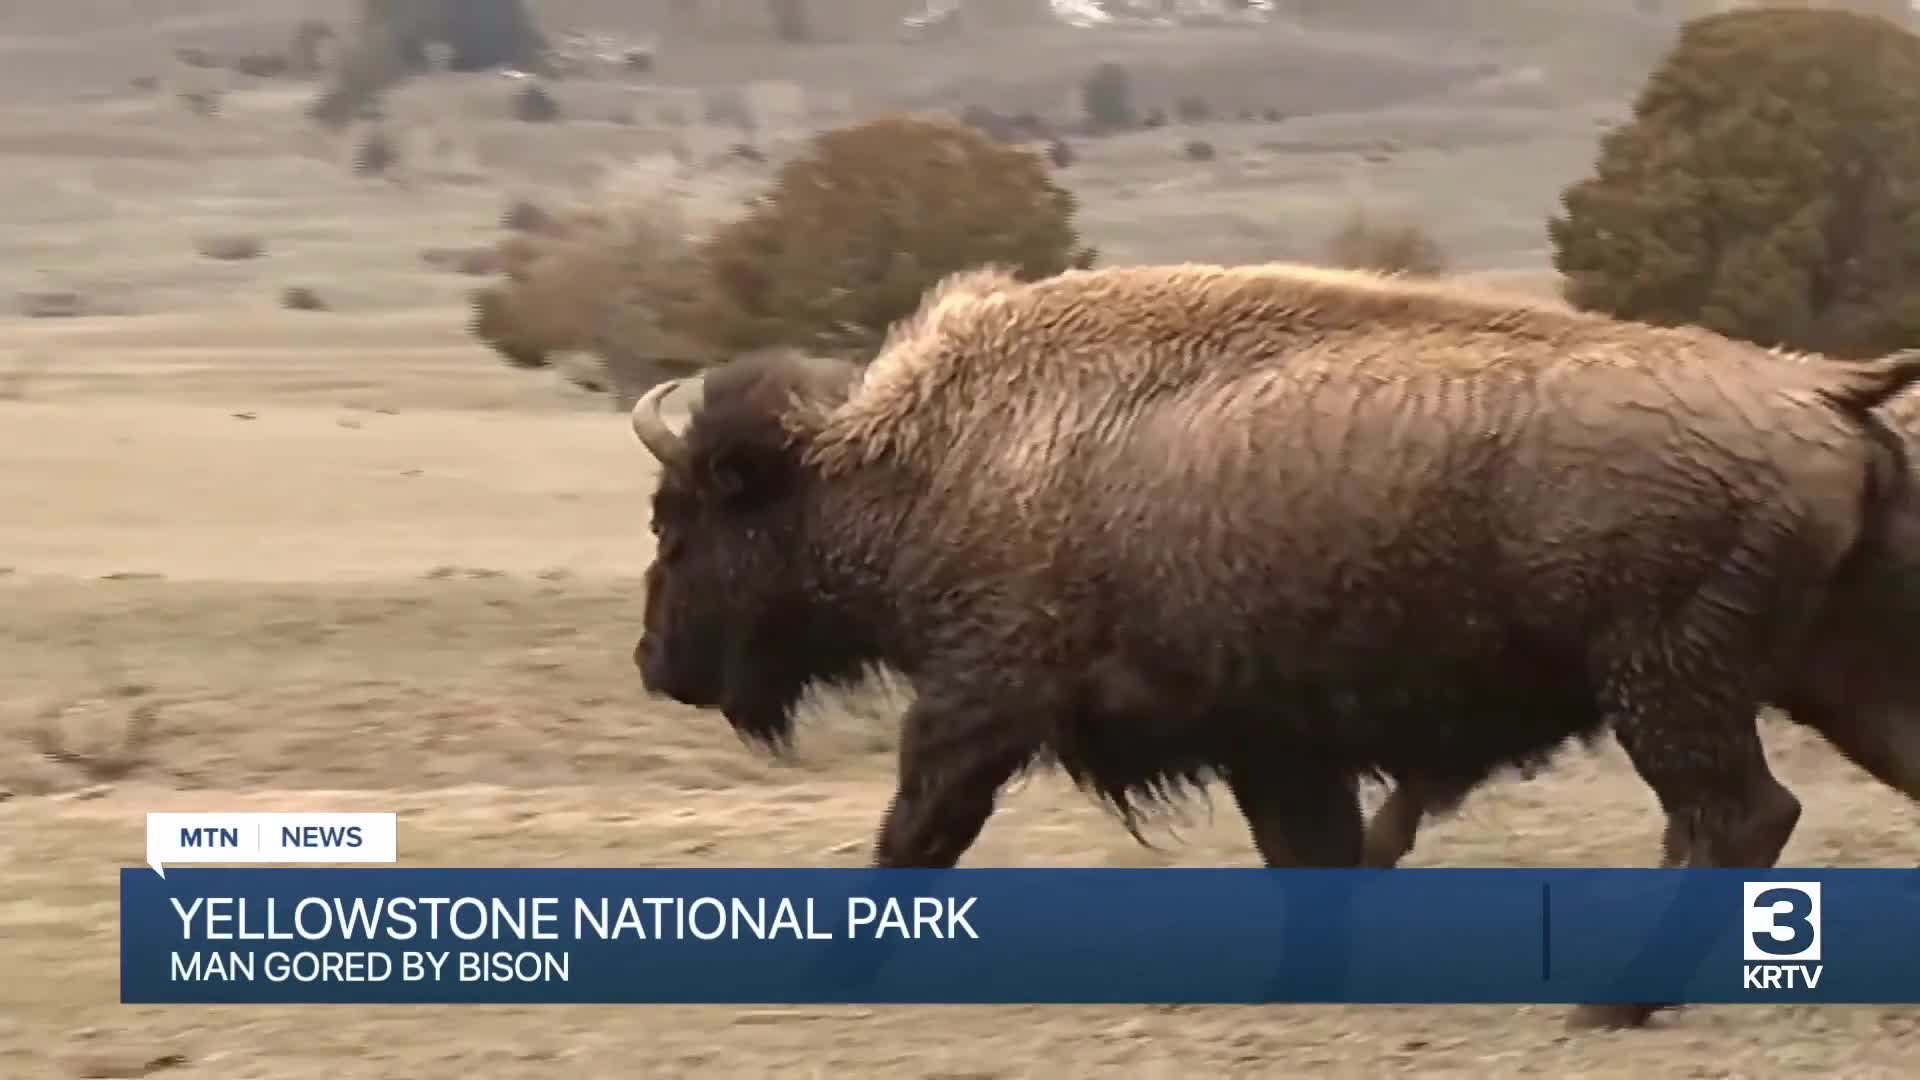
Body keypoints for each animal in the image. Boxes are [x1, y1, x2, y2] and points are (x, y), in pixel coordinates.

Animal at [626, 262, 1920, 1030]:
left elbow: (916, 835)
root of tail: (1822, 391)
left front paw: (820, 977)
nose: (654, 662)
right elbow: (1314, 860)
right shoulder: (1271, 743)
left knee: (1741, 816)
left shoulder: (976, 702)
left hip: (1670, 688)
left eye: (686, 518)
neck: (938, 454)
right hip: (1829, 680)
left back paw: (1610, 1008)